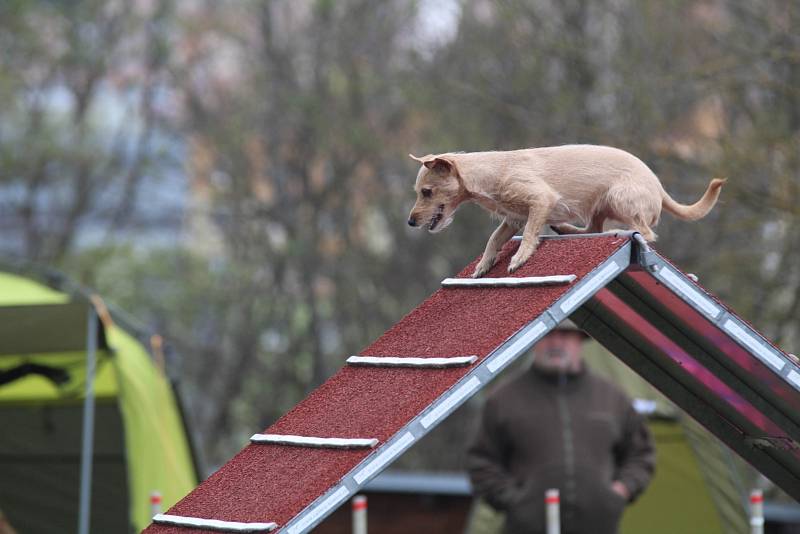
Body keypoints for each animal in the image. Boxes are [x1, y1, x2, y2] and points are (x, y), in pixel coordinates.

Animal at [406, 147, 724, 280]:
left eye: (427, 192)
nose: (410, 221)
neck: (490, 174)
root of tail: (659, 188)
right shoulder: (513, 218)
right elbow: (494, 239)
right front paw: (484, 265)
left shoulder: (539, 201)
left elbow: (530, 234)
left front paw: (519, 258)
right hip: (599, 206)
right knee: (592, 229)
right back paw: (566, 230)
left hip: (619, 198)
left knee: (644, 232)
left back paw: (617, 231)